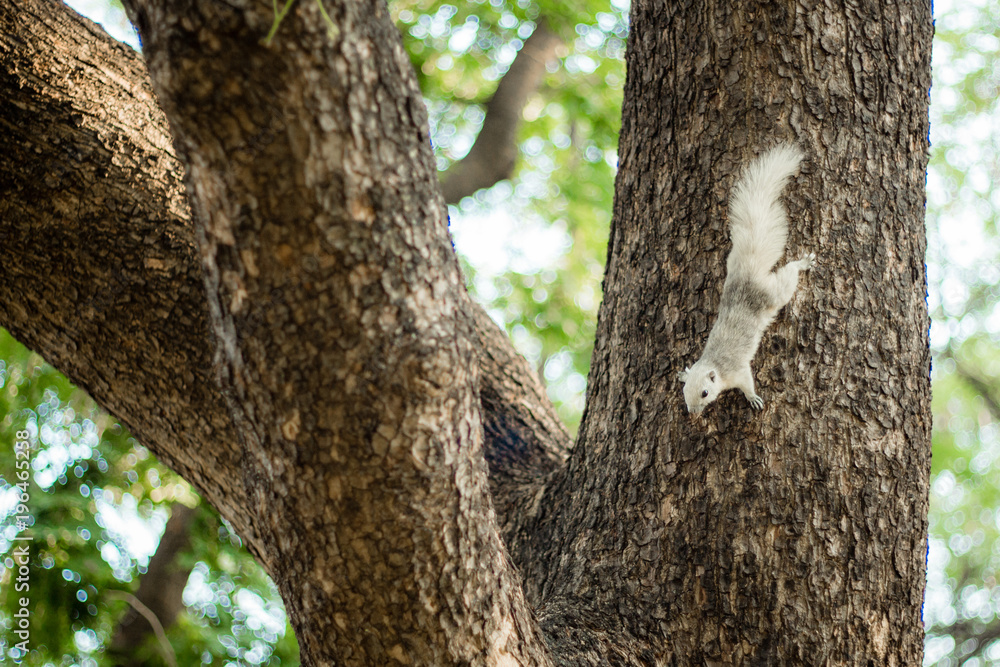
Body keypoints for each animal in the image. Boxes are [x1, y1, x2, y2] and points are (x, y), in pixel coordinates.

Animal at [678, 143, 814, 414]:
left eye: (705, 392)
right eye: (685, 393)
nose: (693, 414)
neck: (714, 365)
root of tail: (748, 270)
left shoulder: (738, 372)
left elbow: (747, 383)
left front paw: (753, 398)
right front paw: (681, 373)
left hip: (774, 294)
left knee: (789, 276)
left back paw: (803, 263)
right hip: (732, 262)